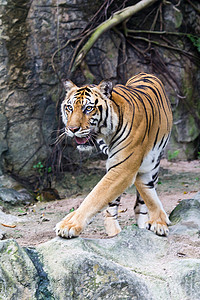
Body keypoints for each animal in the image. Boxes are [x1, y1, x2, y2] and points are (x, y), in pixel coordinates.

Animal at [55, 72, 173, 239]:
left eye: (88, 108)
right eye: (69, 108)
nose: (72, 129)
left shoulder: (124, 168)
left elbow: (95, 197)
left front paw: (69, 225)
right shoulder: (122, 168)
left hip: (152, 165)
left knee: (140, 201)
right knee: (113, 206)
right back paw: (114, 232)